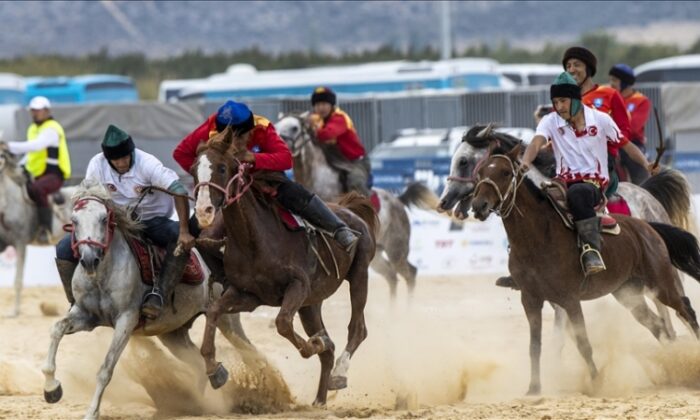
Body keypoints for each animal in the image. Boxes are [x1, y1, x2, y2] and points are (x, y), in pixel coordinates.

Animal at [40, 180, 249, 420]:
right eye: (74, 220)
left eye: (103, 219)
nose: (89, 260)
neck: (102, 275)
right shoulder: (85, 316)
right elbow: (57, 329)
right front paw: (51, 389)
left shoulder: (126, 320)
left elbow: (105, 369)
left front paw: (92, 412)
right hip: (174, 334)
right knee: (196, 363)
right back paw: (197, 400)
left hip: (226, 319)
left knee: (250, 352)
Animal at [190, 126, 378, 406]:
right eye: (194, 169)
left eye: (222, 168)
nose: (204, 210)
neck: (255, 240)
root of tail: (350, 211)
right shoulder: (246, 295)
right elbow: (213, 311)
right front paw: (214, 370)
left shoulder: (297, 286)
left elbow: (283, 324)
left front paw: (316, 344)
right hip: (311, 304)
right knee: (328, 350)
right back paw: (319, 400)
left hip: (359, 275)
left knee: (357, 329)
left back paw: (339, 373)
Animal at [276, 114, 440, 298]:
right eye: (277, 125)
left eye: (295, 127)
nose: (281, 144)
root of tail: (398, 201)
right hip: (378, 255)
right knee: (392, 276)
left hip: (396, 249)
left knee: (410, 273)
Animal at [468, 144, 700, 394]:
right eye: (479, 173)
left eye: (505, 173)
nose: (479, 205)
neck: (539, 235)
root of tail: (648, 227)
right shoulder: (531, 300)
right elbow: (535, 346)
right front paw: (534, 388)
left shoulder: (569, 299)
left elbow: (583, 344)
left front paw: (597, 382)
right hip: (628, 293)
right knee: (658, 325)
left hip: (662, 283)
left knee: (686, 311)